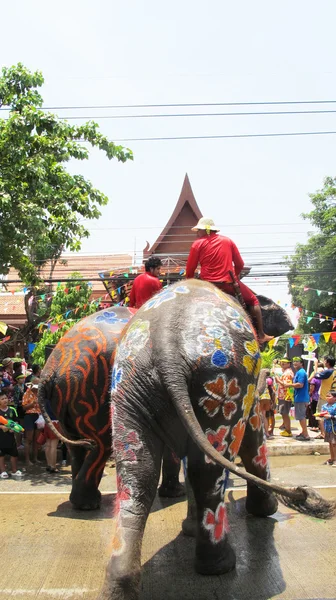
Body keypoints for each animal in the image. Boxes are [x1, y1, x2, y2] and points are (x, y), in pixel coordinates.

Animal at [38, 308, 185, 508]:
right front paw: (177, 494)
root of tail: (52, 368)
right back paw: (90, 504)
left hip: (65, 400)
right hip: (93, 392)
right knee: (101, 443)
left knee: (77, 446)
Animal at [97, 280, 334, 600]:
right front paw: (266, 511)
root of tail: (166, 345)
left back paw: (118, 586)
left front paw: (188, 529)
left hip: (128, 385)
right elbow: (253, 438)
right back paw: (220, 565)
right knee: (209, 471)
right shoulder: (251, 391)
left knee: (137, 474)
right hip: (223, 380)